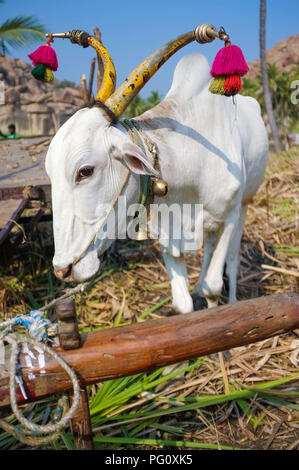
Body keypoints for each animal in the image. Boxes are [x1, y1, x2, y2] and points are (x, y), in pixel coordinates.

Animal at [47, 52, 270, 312]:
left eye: (85, 171)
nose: (62, 270)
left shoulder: (229, 216)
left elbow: (214, 288)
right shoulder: (167, 233)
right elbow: (183, 303)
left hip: (244, 204)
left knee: (233, 257)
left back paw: (233, 298)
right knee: (209, 247)